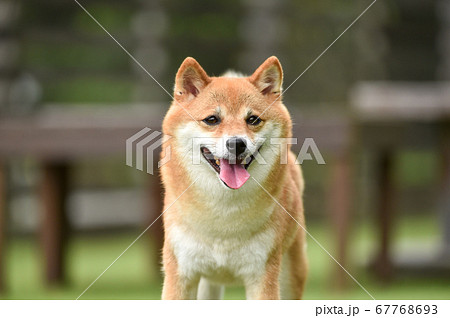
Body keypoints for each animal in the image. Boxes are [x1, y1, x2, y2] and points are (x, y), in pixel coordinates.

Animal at [160, 56, 308, 298]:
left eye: (253, 119)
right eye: (212, 119)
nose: (237, 143)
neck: (224, 216)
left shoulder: (263, 275)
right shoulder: (181, 272)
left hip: (290, 275)